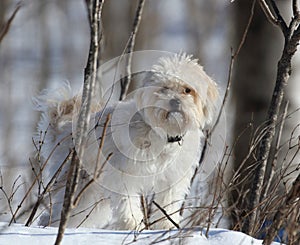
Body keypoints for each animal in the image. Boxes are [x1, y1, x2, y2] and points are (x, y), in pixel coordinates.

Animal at [34, 53, 218, 230]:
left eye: (188, 90)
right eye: (164, 88)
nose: (174, 101)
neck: (163, 135)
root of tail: (64, 129)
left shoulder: (173, 179)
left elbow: (167, 205)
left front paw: (166, 226)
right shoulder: (123, 175)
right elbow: (127, 203)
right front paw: (132, 225)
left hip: (91, 194)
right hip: (76, 184)